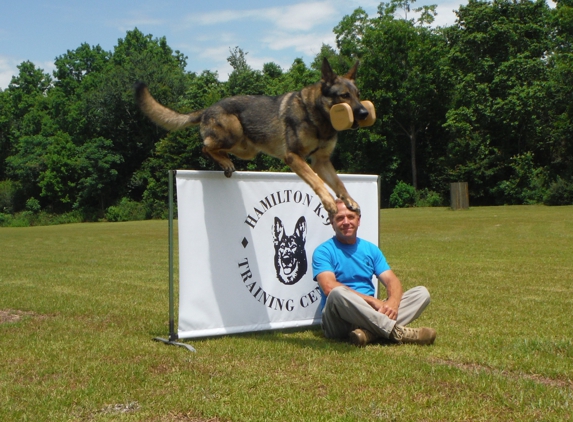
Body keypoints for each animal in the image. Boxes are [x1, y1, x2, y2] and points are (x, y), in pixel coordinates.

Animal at [135, 58, 368, 216]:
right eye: (344, 96)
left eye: (358, 95)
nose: (365, 113)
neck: (318, 117)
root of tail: (207, 109)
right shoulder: (294, 157)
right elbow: (317, 181)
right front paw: (328, 201)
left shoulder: (321, 161)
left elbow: (339, 183)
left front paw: (349, 201)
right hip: (234, 132)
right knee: (205, 146)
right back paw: (224, 162)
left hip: (246, 148)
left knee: (213, 147)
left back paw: (225, 162)